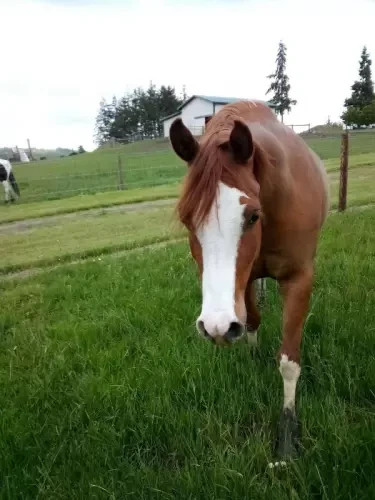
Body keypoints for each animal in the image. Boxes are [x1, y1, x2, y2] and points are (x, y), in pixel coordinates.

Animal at [170, 99, 328, 458]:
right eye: (187, 219)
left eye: (252, 216)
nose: (214, 327)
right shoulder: (244, 280)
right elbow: (252, 320)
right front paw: (252, 357)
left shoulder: (299, 279)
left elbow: (289, 361)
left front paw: (287, 437)